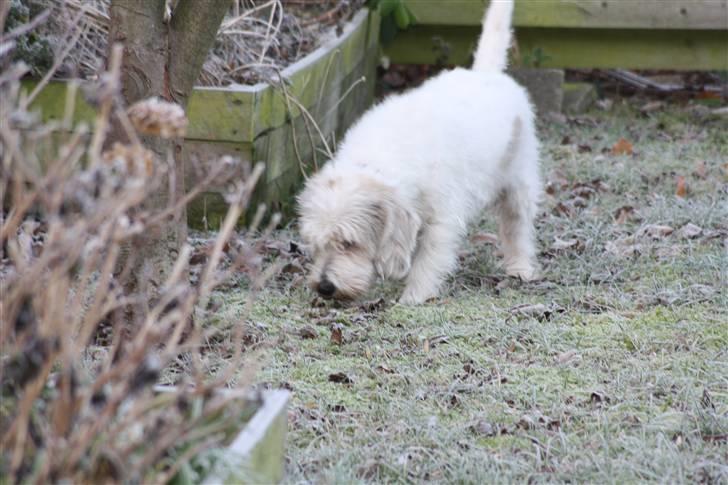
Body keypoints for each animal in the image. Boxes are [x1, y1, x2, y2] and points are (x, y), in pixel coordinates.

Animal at [296, 0, 540, 302]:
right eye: (316, 244)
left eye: (349, 243)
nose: (325, 287)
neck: (378, 159)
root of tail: (486, 73)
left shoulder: (442, 219)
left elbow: (429, 259)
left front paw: (413, 296)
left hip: (519, 183)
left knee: (517, 226)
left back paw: (520, 267)